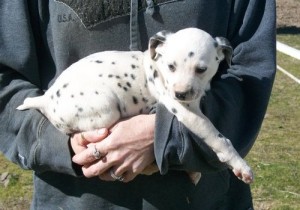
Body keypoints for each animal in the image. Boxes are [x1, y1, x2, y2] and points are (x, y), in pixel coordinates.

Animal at [17, 27, 253, 184]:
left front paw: (194, 172)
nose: (180, 93)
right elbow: (219, 138)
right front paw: (240, 165)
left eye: (201, 69)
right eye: (171, 66)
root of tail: (46, 98)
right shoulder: (187, 112)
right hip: (106, 107)